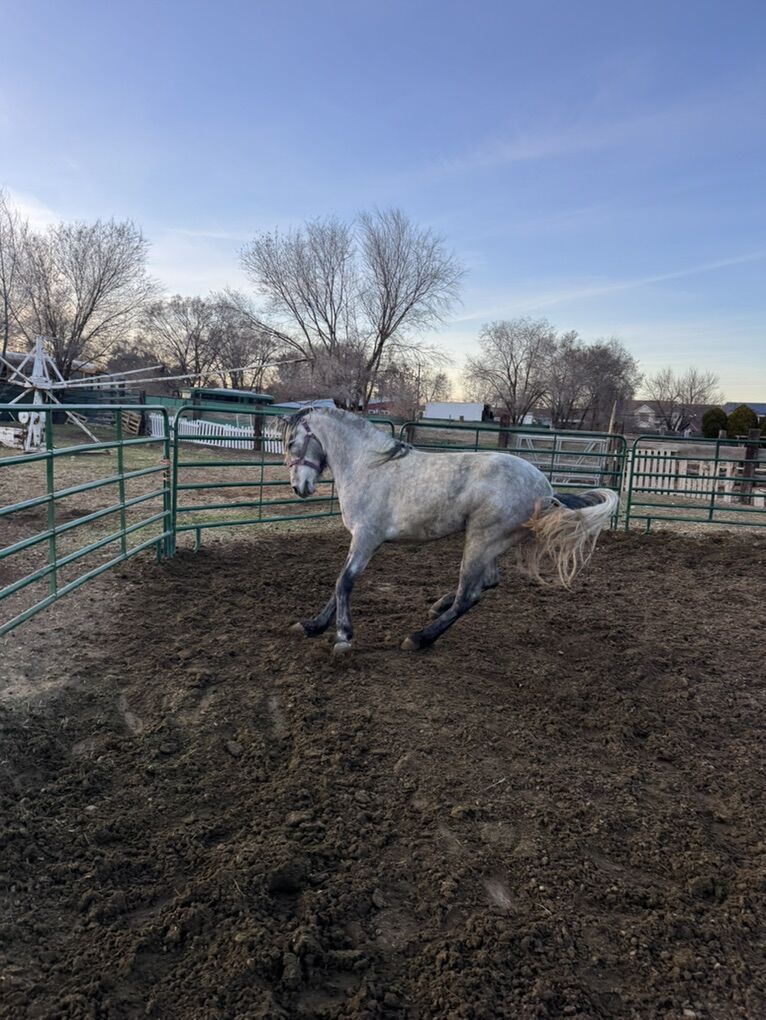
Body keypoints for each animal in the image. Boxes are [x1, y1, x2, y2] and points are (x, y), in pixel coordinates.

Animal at [280, 407, 618, 656]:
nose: (299, 488)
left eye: (290, 443)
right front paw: (313, 626)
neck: (370, 466)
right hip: (490, 542)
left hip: (482, 540)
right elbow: (339, 584)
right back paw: (436, 606)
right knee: (486, 583)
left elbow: (344, 582)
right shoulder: (360, 540)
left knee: (468, 595)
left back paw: (419, 638)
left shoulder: (367, 537)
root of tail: (545, 490)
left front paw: (342, 637)